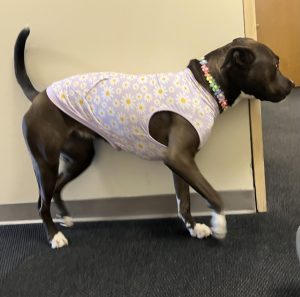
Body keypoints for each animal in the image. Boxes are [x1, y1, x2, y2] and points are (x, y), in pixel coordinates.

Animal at [15, 27, 294, 247]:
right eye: (276, 64)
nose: (292, 85)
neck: (206, 85)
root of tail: (39, 95)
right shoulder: (178, 157)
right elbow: (214, 195)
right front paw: (219, 224)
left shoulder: (181, 162)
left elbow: (184, 201)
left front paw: (194, 227)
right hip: (45, 162)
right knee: (41, 202)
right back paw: (54, 236)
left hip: (79, 157)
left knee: (56, 189)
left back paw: (65, 218)